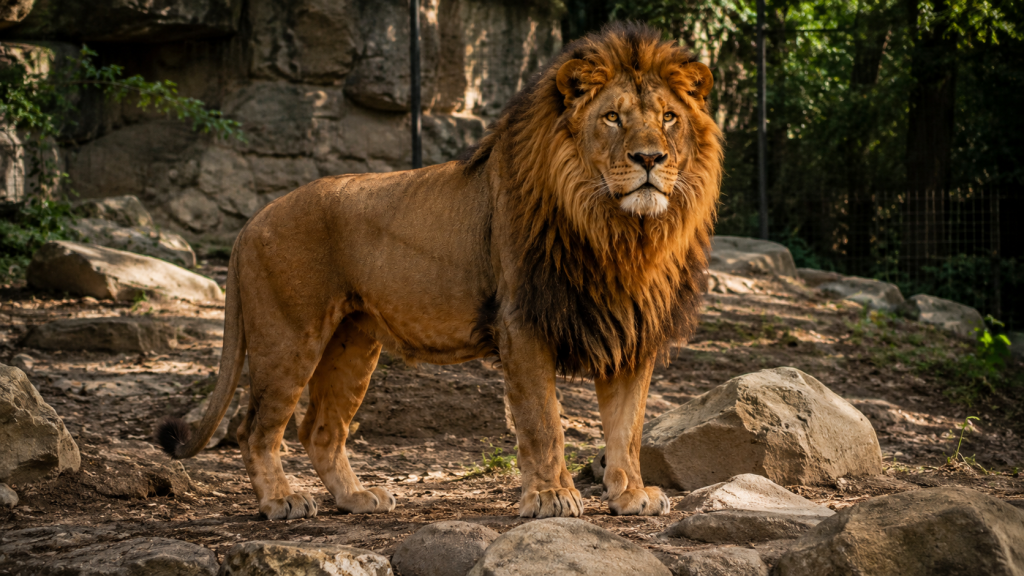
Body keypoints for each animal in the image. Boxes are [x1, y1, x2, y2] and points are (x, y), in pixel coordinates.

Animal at [157, 22, 722, 521]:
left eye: (668, 117)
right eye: (611, 118)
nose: (649, 158)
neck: (620, 231)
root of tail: (252, 221)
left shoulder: (633, 331)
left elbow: (628, 429)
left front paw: (631, 496)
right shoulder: (522, 324)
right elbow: (544, 423)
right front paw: (551, 497)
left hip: (351, 341)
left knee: (319, 429)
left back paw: (356, 498)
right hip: (288, 338)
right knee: (255, 428)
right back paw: (280, 501)